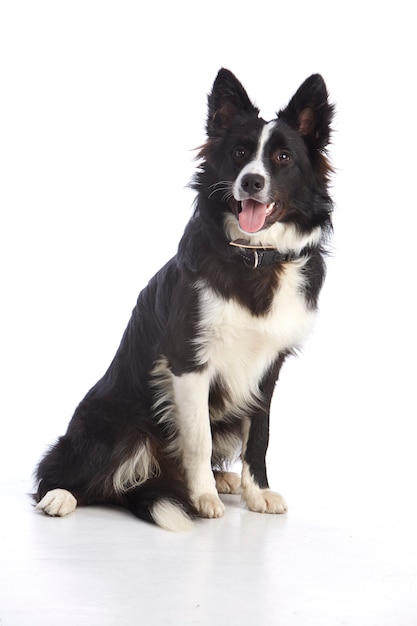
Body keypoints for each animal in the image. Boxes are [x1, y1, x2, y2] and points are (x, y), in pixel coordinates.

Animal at [35, 67, 334, 528]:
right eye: (239, 152)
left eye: (283, 158)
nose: (251, 181)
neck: (254, 259)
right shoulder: (188, 362)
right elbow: (197, 439)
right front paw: (203, 498)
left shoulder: (268, 367)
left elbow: (260, 436)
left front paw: (255, 493)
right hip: (118, 421)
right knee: (69, 473)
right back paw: (61, 496)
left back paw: (225, 480)